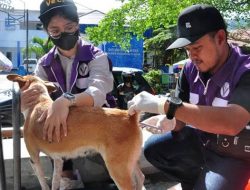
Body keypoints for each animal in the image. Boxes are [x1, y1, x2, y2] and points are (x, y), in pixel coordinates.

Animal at [7, 74, 145, 190]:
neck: (39, 102)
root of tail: (129, 116)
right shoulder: (58, 160)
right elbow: (55, 182)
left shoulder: (34, 157)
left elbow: (42, 181)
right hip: (130, 163)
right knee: (140, 177)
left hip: (117, 169)